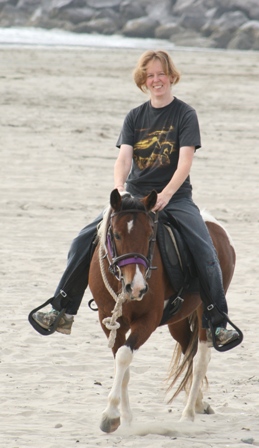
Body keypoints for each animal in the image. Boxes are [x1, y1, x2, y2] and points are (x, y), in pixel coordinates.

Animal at [89, 189, 242, 434]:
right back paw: (199, 402)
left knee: (200, 359)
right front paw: (126, 418)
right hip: (177, 322)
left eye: (150, 236)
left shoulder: (148, 320)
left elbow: (123, 356)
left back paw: (188, 415)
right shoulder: (108, 319)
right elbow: (123, 365)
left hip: (205, 311)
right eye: (117, 235)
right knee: (188, 349)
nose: (137, 287)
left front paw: (110, 415)